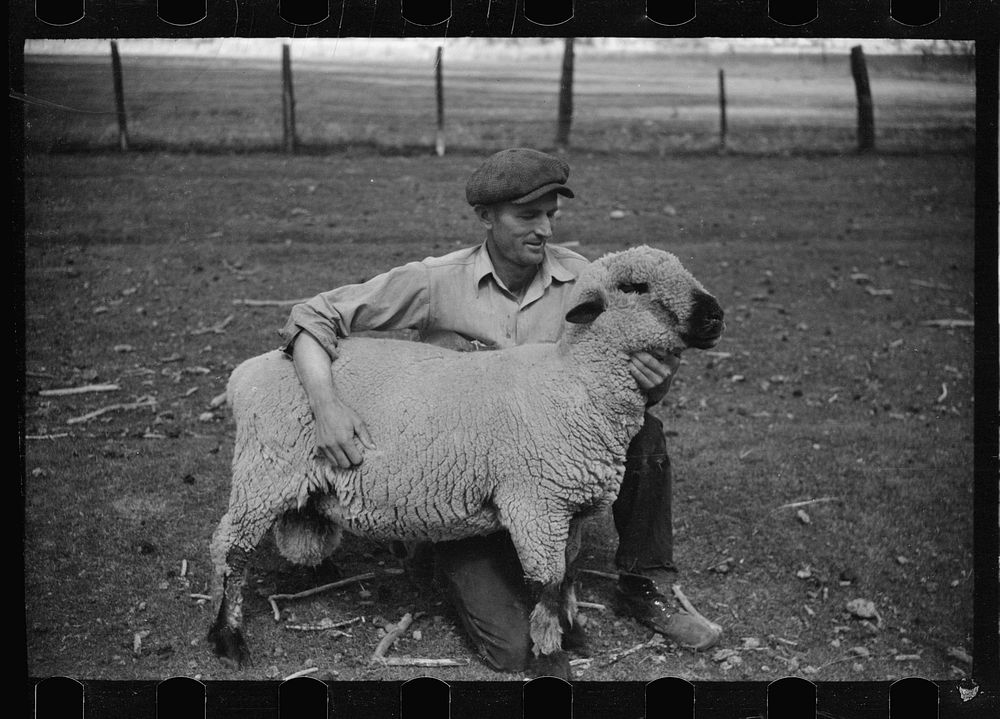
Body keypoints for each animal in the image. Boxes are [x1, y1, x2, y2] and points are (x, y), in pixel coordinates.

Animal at [209, 246, 728, 676]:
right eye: (634, 287)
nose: (715, 315)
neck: (576, 379)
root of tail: (247, 373)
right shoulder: (536, 505)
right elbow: (546, 584)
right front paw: (549, 655)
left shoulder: (571, 509)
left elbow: (569, 575)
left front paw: (573, 632)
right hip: (265, 473)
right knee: (231, 551)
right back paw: (229, 639)